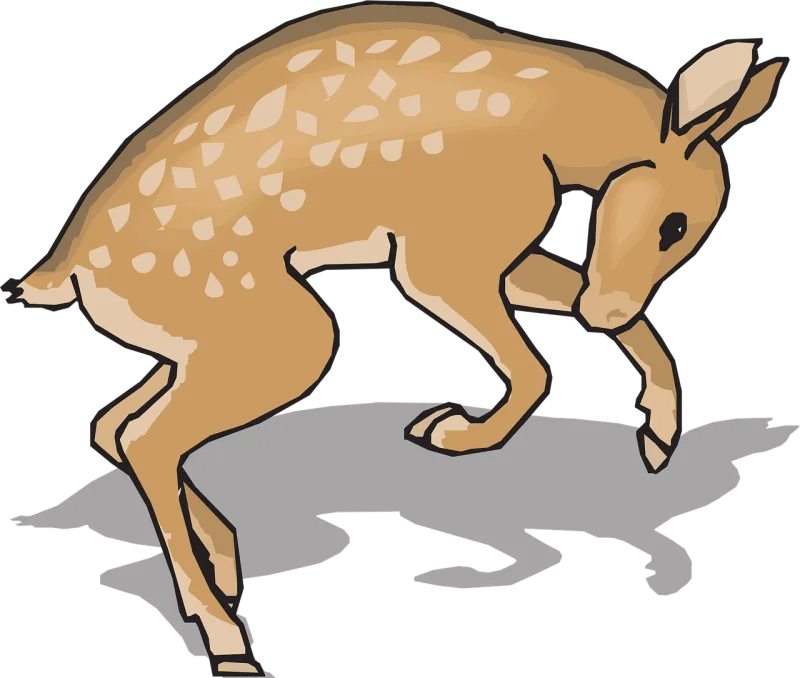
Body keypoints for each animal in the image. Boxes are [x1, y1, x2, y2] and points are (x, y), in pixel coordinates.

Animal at [5, 4, 786, 675]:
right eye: (675, 225)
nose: (607, 310)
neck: (557, 136)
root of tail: (66, 273)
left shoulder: (492, 250)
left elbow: (570, 310)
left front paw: (657, 434)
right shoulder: (445, 251)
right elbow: (534, 368)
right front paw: (452, 432)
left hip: (209, 337)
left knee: (113, 424)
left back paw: (228, 567)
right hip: (284, 333)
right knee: (147, 436)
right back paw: (230, 641)